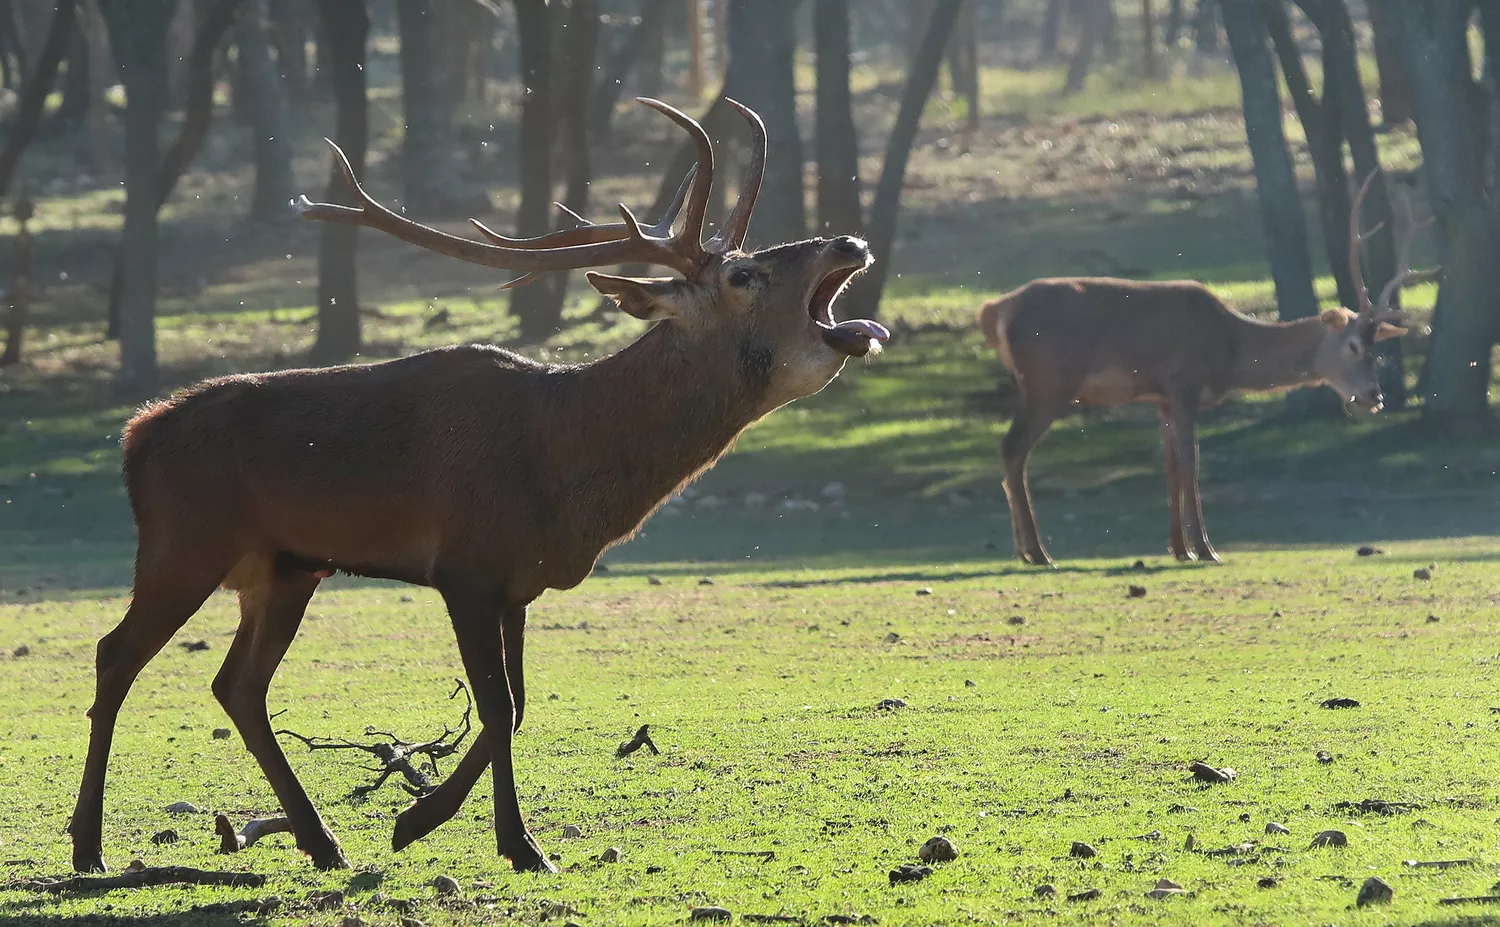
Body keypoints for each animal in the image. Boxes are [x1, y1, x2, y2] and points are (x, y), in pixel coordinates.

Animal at [73, 99, 888, 876]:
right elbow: (495, 707)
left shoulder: (517, 583)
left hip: (284, 569)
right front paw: (510, 842)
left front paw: (422, 821)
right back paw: (89, 846)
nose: (849, 243)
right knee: (117, 655)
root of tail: (135, 436)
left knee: (236, 685)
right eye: (743, 275)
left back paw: (321, 838)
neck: (569, 473)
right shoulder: (463, 567)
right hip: (184, 545)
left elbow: (519, 705)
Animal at [978, 172, 1434, 564]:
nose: (1374, 397)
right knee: (1012, 448)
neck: (1229, 351)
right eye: (1355, 346)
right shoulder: (1184, 383)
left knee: (1011, 451)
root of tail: (995, 310)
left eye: (1378, 351)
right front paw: (1205, 548)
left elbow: (1170, 465)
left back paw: (1026, 550)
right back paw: (1037, 552)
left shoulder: (1160, 398)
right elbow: (1192, 461)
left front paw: (1178, 547)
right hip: (1048, 383)